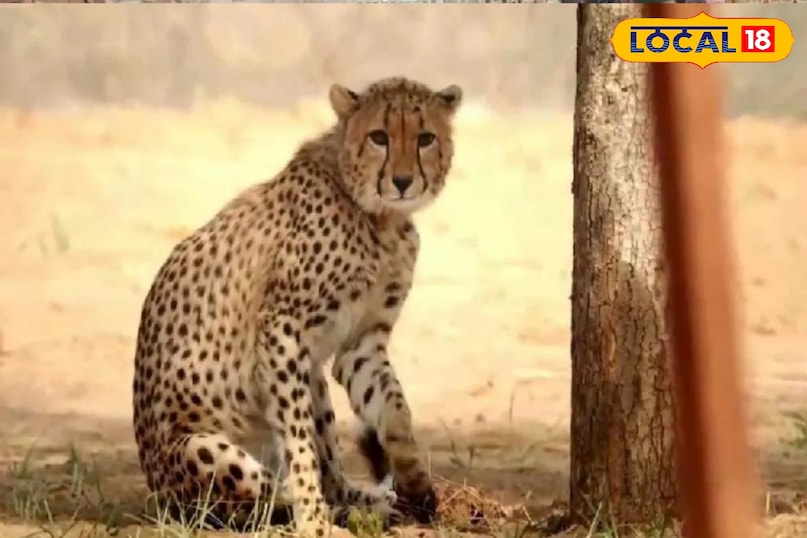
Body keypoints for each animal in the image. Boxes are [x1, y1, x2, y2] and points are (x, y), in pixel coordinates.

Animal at [131, 76, 463, 537]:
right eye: (379, 137)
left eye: (426, 138)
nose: (402, 181)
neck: (378, 217)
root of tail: (157, 492)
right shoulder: (280, 329)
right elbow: (299, 441)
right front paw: (314, 520)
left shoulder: (360, 343)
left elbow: (394, 408)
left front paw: (416, 480)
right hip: (200, 450)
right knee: (259, 500)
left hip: (313, 375)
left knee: (328, 477)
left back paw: (368, 503)